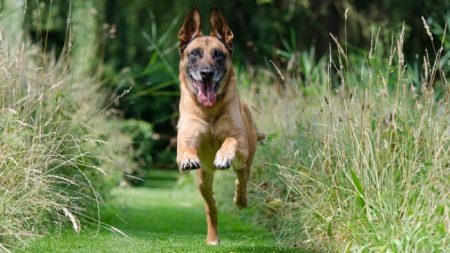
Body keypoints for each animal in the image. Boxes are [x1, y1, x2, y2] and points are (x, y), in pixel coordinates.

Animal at [176, 7, 264, 245]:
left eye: (218, 54)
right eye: (195, 53)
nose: (206, 73)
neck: (210, 110)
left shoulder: (239, 141)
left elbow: (231, 140)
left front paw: (223, 155)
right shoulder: (187, 138)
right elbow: (186, 148)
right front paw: (189, 158)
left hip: (245, 163)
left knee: (241, 182)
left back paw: (240, 200)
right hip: (203, 180)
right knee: (211, 206)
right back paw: (213, 236)